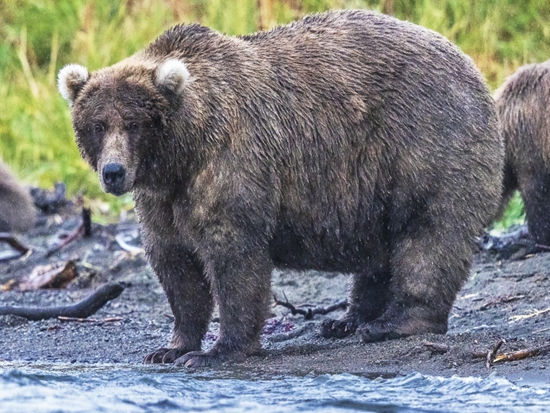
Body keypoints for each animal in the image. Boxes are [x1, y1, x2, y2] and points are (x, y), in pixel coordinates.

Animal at [57, 9, 504, 366]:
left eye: (134, 124)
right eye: (97, 125)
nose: (113, 172)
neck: (182, 153)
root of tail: (472, 67)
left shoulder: (232, 162)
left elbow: (234, 258)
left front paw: (218, 351)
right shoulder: (161, 198)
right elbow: (176, 264)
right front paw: (171, 347)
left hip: (424, 142)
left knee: (427, 234)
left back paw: (394, 322)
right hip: (374, 185)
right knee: (382, 248)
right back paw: (347, 320)